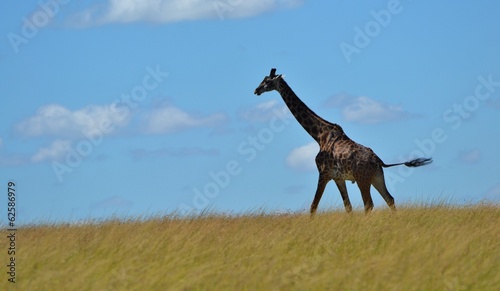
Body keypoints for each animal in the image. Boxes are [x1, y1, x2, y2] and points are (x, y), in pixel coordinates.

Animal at [256, 67, 432, 216]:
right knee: (389, 199)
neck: (319, 135)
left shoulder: (324, 173)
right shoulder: (338, 177)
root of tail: (379, 161)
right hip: (377, 177)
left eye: (267, 81)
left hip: (362, 179)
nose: (256, 90)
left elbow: (313, 206)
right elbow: (348, 207)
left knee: (369, 204)